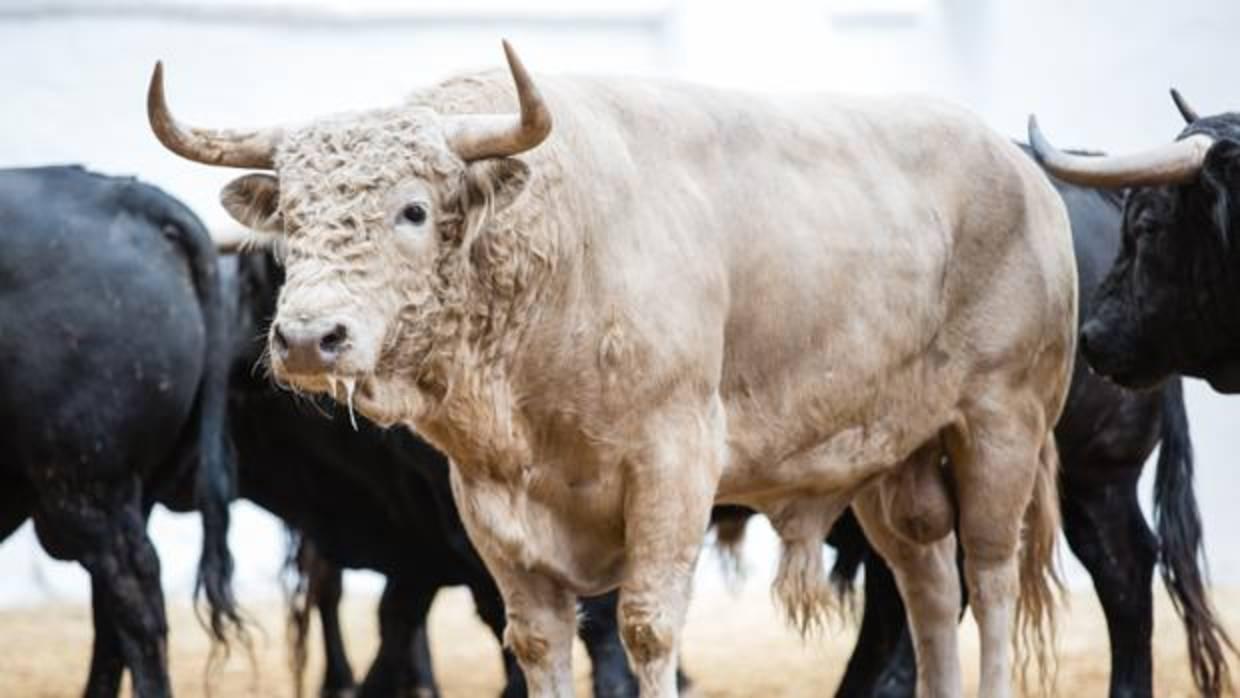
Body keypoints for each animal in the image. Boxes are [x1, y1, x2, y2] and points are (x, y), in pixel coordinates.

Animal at [147, 42, 1076, 698]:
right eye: (291, 222)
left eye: (411, 210)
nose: (310, 338)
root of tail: (1024, 174)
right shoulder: (489, 504)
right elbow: (535, 639)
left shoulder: (674, 467)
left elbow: (647, 629)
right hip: (894, 463)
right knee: (928, 587)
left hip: (1000, 425)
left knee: (989, 577)